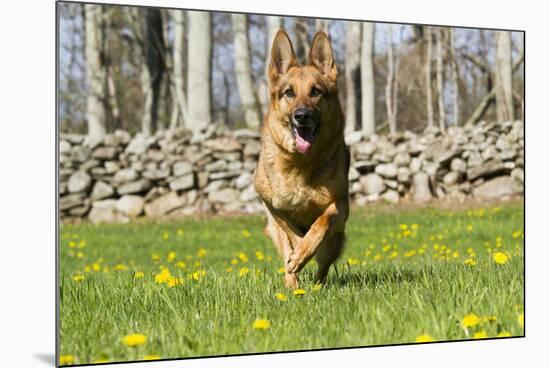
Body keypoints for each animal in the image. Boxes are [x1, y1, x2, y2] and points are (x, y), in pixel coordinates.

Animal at [253, 30, 350, 288]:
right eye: (289, 92)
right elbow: (290, 232)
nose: (302, 115)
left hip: (335, 241)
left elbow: (323, 221)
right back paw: (292, 286)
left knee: (323, 266)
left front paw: (305, 250)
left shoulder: (341, 205)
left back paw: (315, 285)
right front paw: (298, 252)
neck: (300, 163)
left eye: (315, 91)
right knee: (287, 254)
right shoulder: (271, 205)